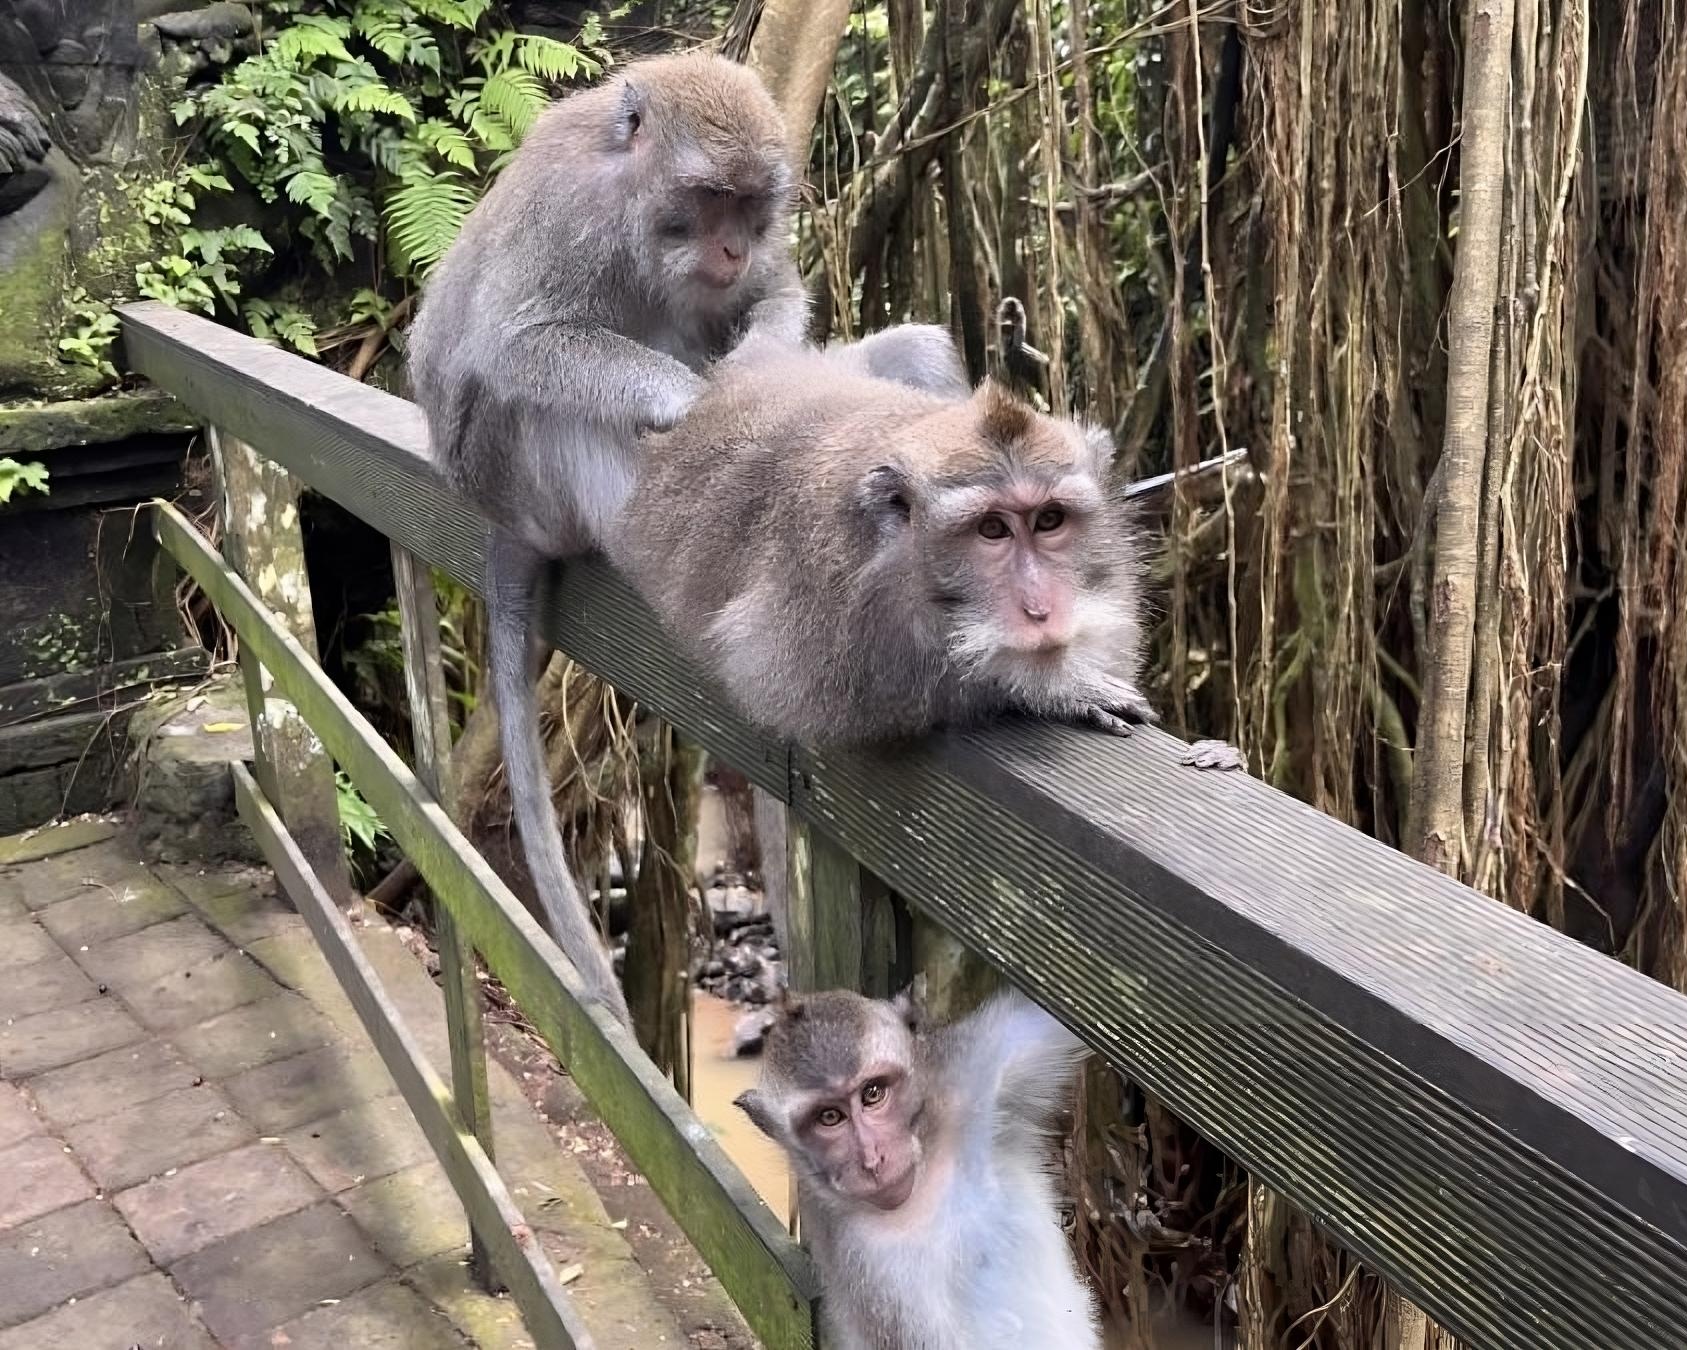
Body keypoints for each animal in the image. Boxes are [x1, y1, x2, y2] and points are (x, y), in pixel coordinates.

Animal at [405, 50, 807, 1025]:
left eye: (752, 205)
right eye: (708, 198)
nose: (731, 248)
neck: (630, 200)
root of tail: (497, 516)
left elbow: (775, 292)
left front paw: (757, 361)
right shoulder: (571, 216)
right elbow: (518, 345)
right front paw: (688, 397)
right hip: (525, 481)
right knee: (539, 403)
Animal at [609, 342, 1155, 745]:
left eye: (1049, 520)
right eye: (992, 530)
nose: (1040, 609)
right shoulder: (827, 599)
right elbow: (822, 690)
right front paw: (1055, 687)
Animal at [736, 986, 1101, 1349]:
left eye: (872, 1093)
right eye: (829, 1117)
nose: (872, 1160)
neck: (922, 1181)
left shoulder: (977, 1063)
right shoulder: (864, 1264)